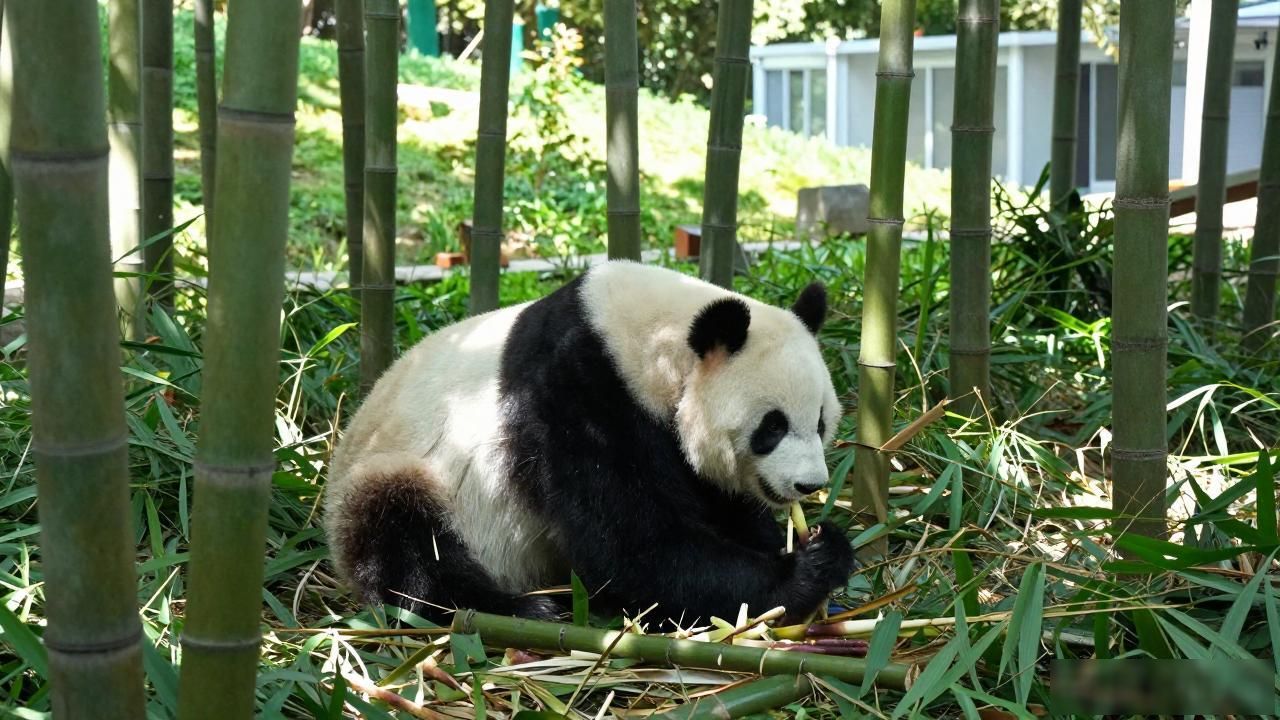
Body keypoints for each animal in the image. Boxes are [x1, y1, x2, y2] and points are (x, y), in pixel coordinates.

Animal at [324, 261, 855, 627]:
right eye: (773, 426)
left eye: (821, 421)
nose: (809, 485)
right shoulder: (576, 392)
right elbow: (628, 546)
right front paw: (802, 573)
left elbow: (714, 502)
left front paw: (819, 546)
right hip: (403, 469)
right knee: (408, 543)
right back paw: (522, 610)